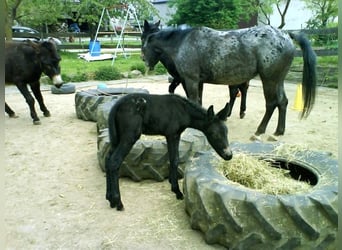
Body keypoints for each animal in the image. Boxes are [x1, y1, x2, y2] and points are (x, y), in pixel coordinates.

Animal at [141, 24, 316, 137]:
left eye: (144, 43)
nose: (145, 61)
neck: (183, 43)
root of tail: (286, 34)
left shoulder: (190, 81)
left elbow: (194, 100)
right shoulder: (198, 82)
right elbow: (199, 101)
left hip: (269, 80)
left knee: (272, 104)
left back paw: (260, 130)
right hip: (278, 80)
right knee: (282, 102)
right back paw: (279, 131)